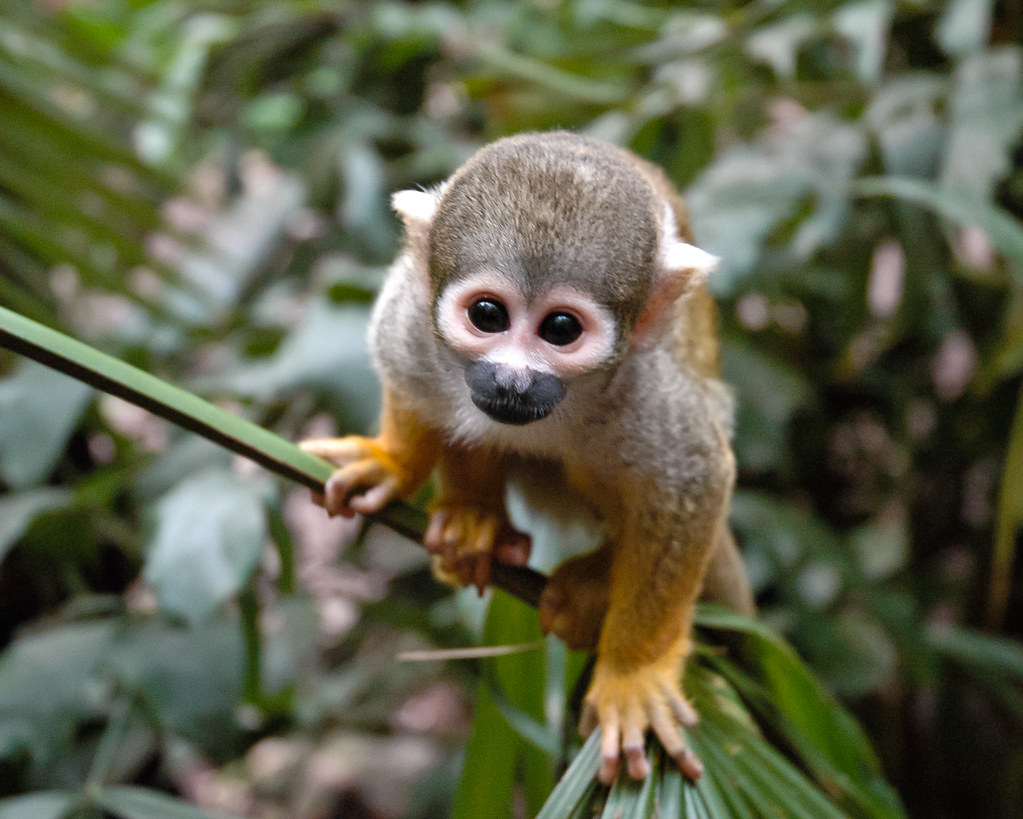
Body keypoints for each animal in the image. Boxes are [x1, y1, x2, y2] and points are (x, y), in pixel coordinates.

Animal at [301, 131, 754, 785]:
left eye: (560, 329)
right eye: (487, 315)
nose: (511, 379)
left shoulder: (645, 386)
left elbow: (691, 483)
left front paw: (634, 672)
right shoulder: (412, 313)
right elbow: (405, 373)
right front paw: (392, 463)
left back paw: (593, 582)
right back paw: (474, 520)